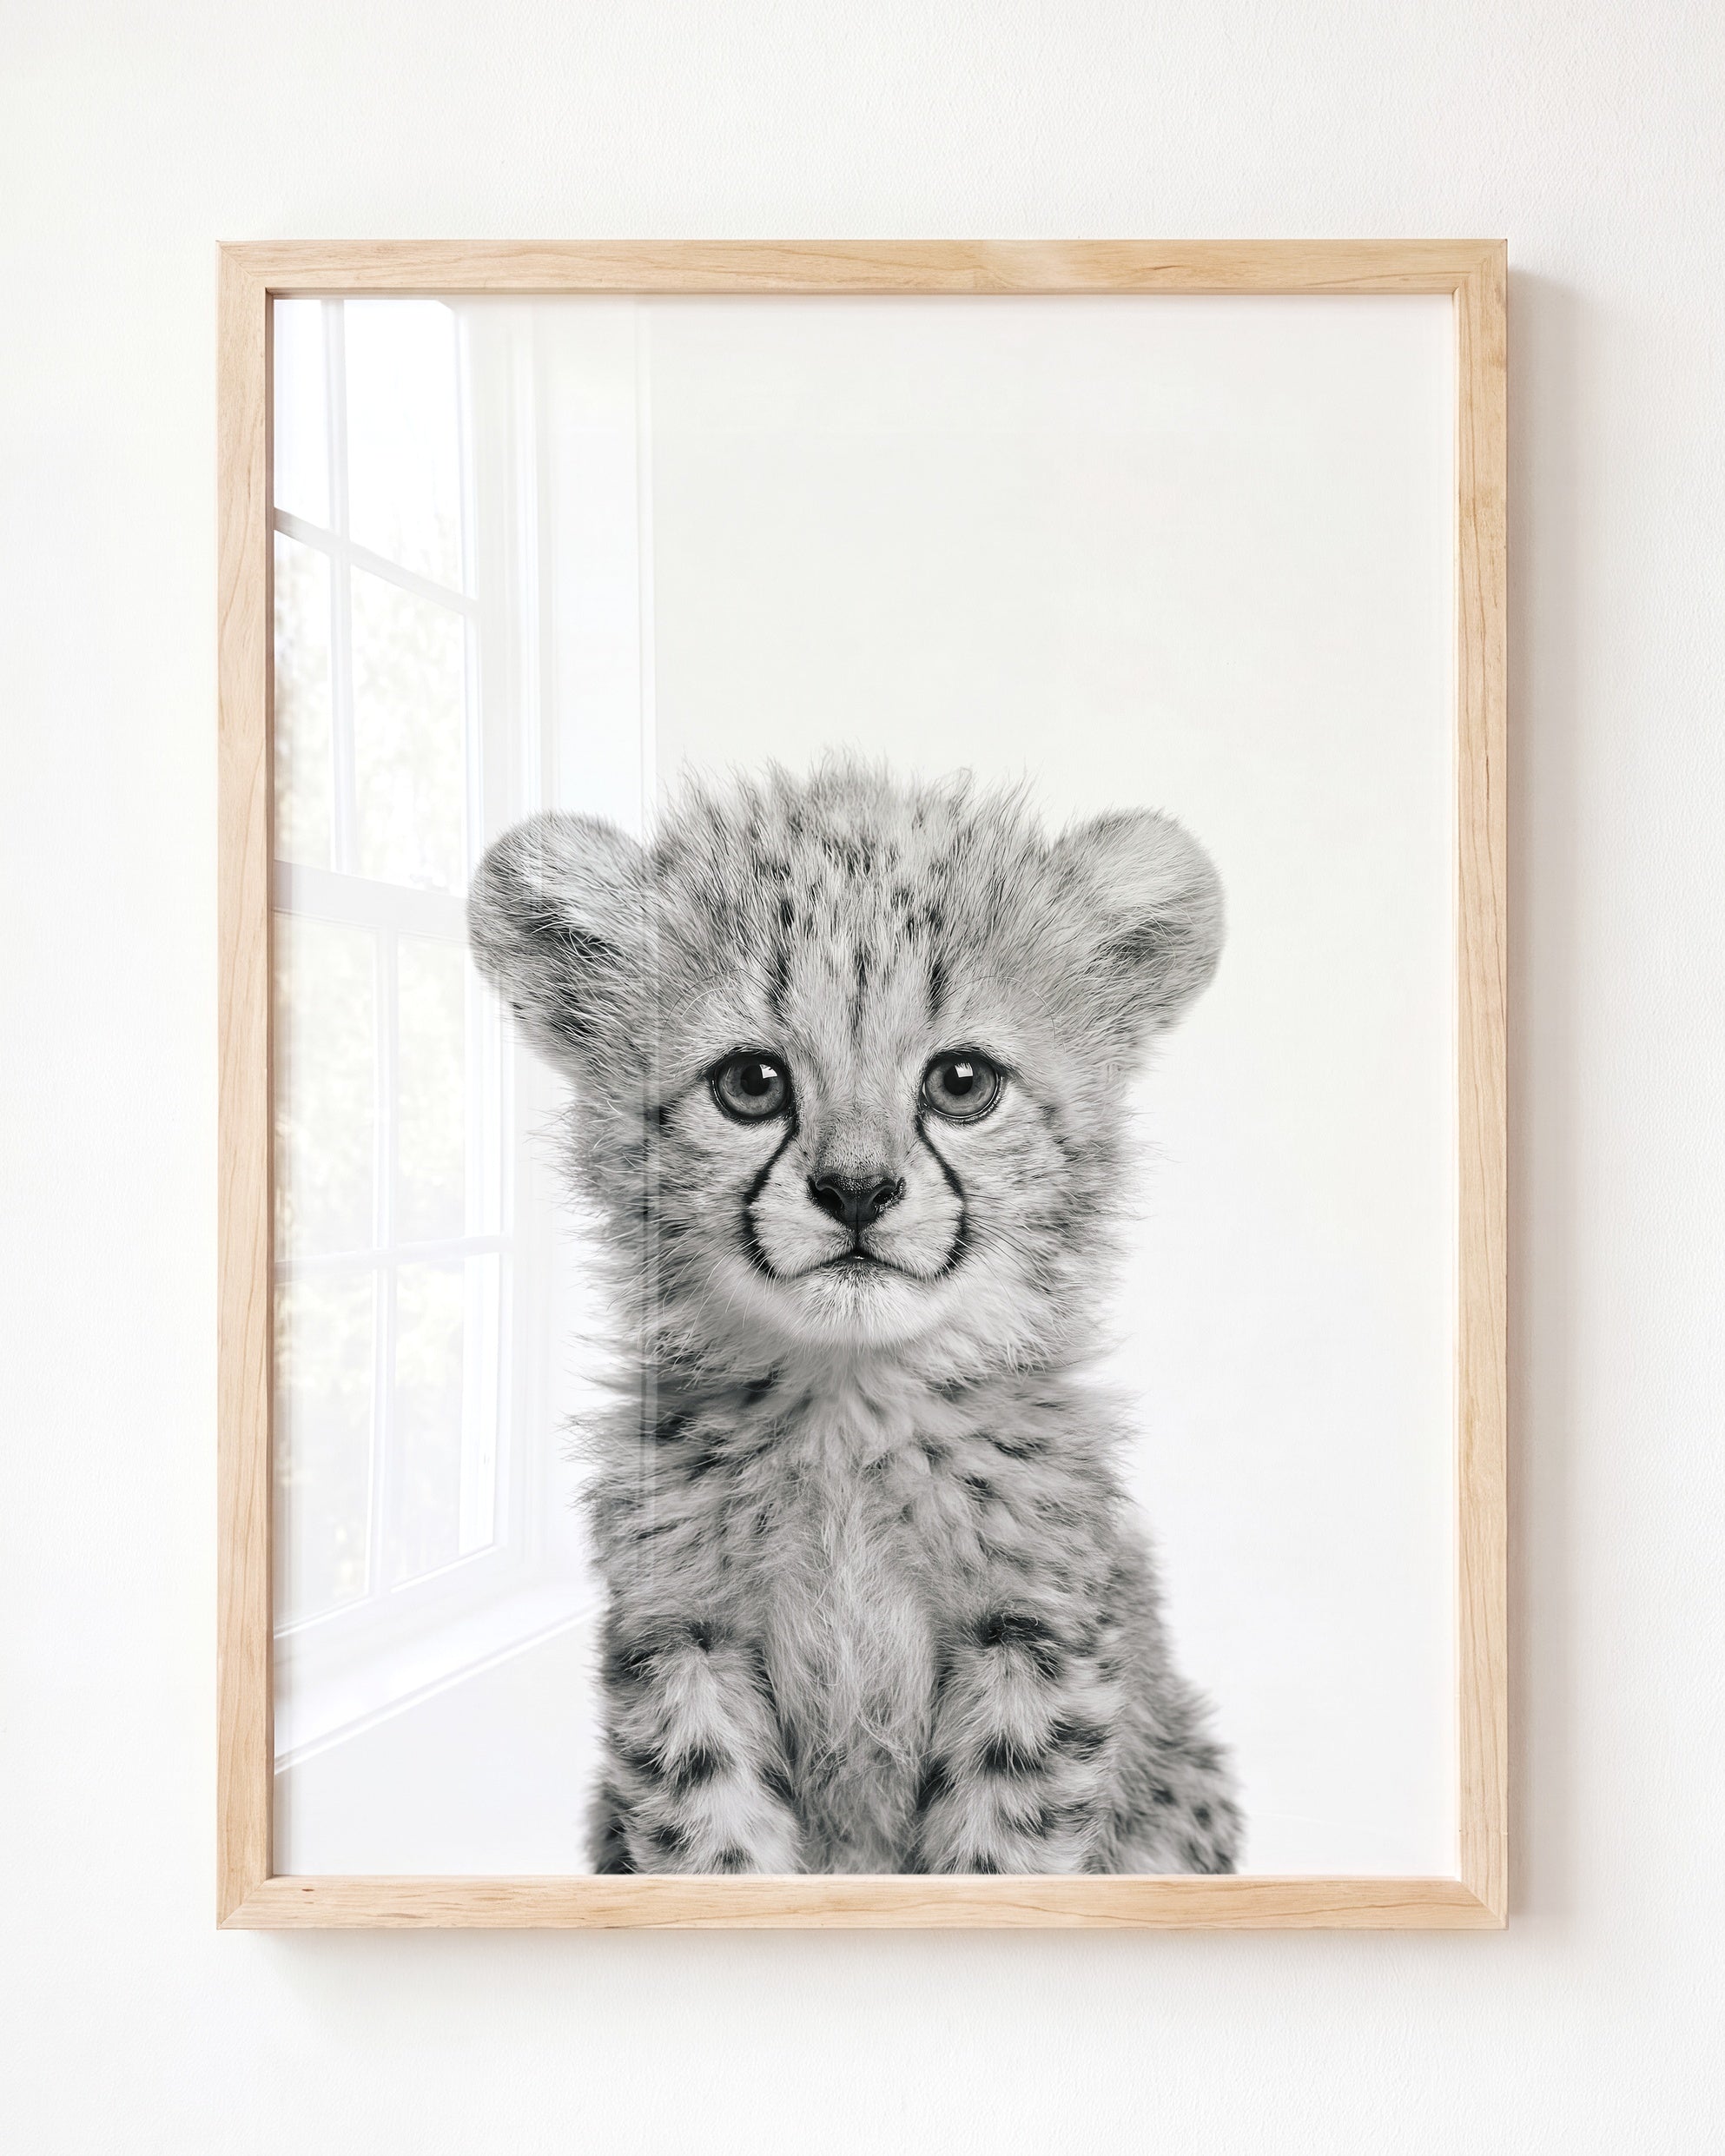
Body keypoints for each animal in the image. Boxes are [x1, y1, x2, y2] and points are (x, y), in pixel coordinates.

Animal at [468, 758, 1242, 1874]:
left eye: (962, 1082)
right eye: (751, 1083)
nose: (857, 1191)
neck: (848, 1405)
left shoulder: (1035, 1637)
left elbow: (998, 1853)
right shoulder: (684, 1637)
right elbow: (715, 1844)